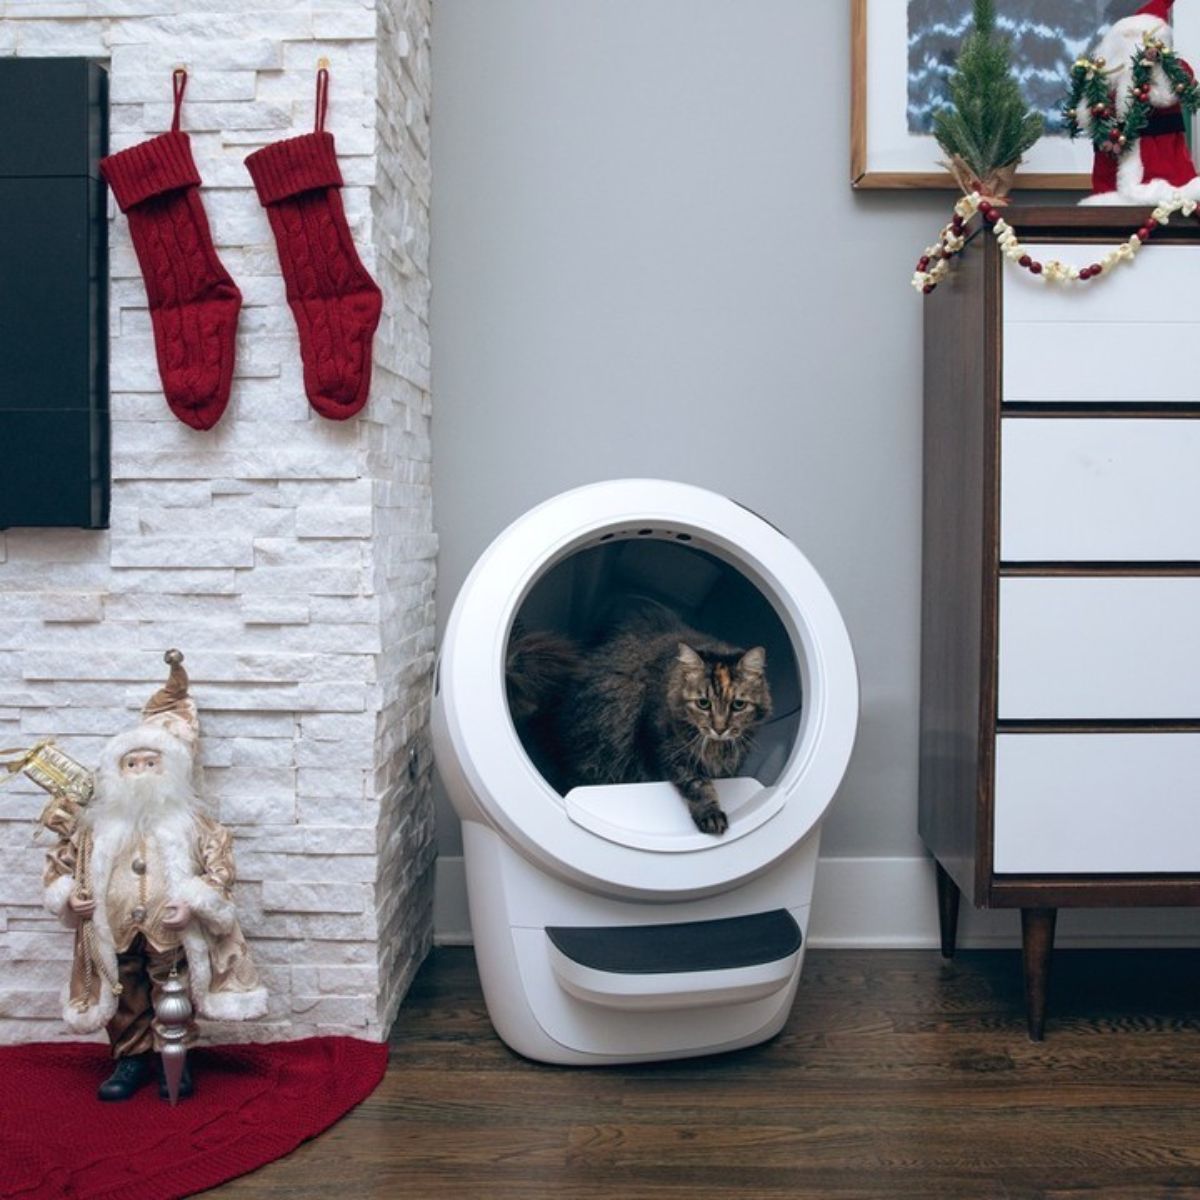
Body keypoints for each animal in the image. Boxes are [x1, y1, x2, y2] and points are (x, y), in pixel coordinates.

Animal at [504, 609, 768, 835]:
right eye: (703, 703)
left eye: (738, 705)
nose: (720, 728)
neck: (715, 747)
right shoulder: (662, 748)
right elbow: (696, 785)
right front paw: (711, 815)